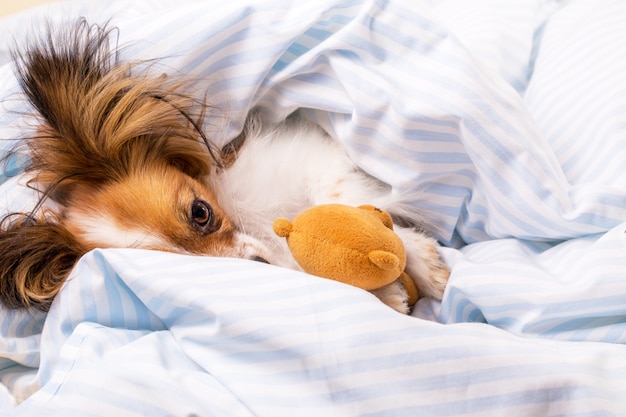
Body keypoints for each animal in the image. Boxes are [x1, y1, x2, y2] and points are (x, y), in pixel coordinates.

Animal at [0, 19, 448, 312]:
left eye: (201, 213)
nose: (259, 267)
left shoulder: (314, 153)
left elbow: (341, 202)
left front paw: (427, 270)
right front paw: (386, 293)